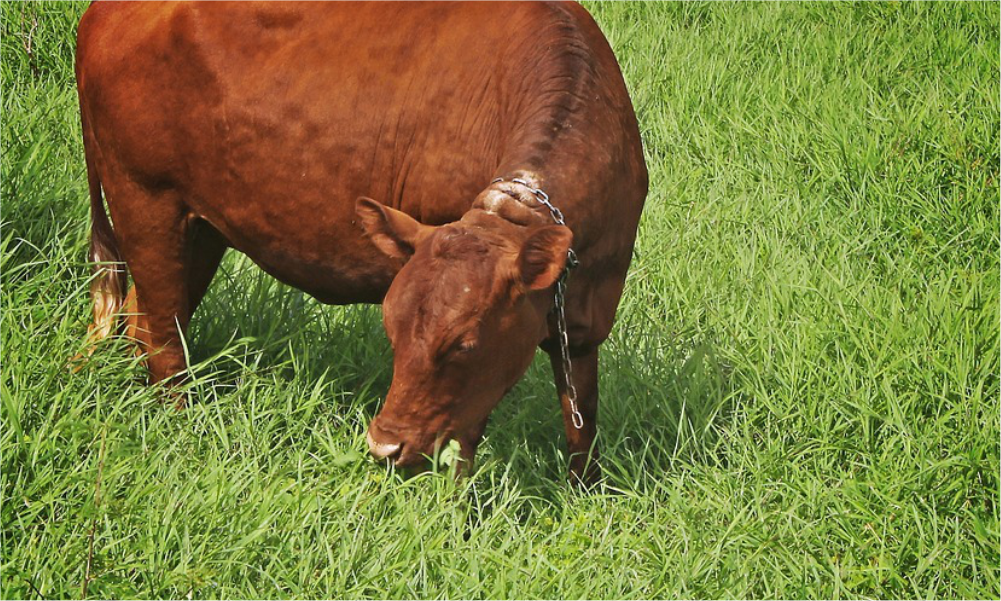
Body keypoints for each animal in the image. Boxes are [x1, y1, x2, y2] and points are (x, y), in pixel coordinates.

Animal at [75, 1, 647, 484]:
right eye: (391, 331)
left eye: (463, 343)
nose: (383, 447)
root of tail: (101, 12)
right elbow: (466, 437)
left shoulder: (587, 314)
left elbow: (581, 417)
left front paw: (584, 494)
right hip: (146, 200)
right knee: (162, 340)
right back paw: (179, 429)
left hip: (199, 226)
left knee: (142, 318)